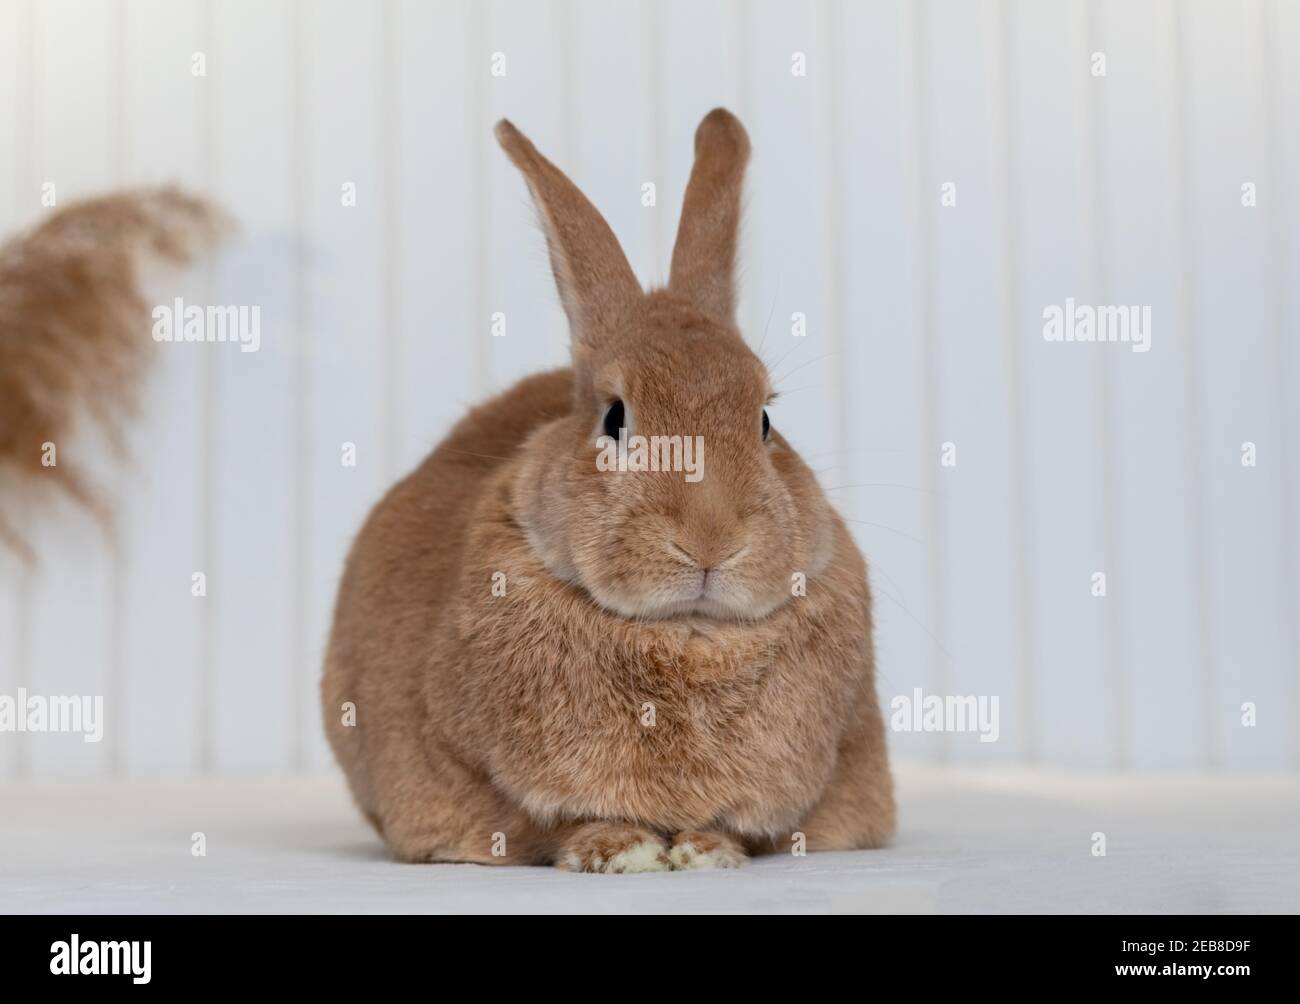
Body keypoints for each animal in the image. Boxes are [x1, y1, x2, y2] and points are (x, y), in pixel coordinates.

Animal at [322, 108, 894, 872]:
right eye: (615, 418)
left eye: (765, 420)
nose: (710, 540)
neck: (686, 637)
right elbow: (547, 822)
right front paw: (622, 851)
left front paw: (706, 851)